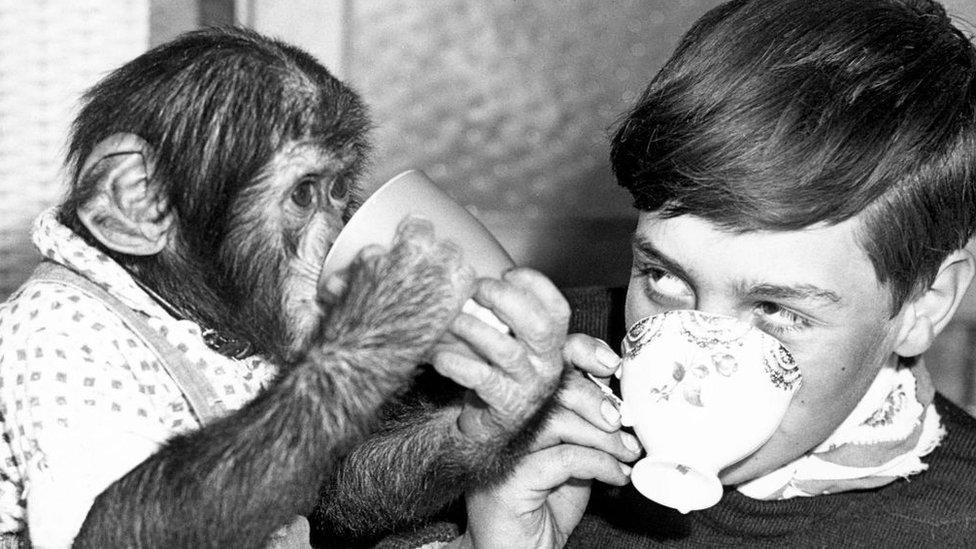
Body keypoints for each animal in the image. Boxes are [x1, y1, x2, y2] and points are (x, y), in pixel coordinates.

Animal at [0, 27, 576, 544]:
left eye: (340, 189)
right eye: (303, 194)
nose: (337, 233)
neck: (179, 309)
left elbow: (330, 477)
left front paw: (508, 400)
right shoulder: (58, 338)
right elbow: (113, 517)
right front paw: (396, 304)